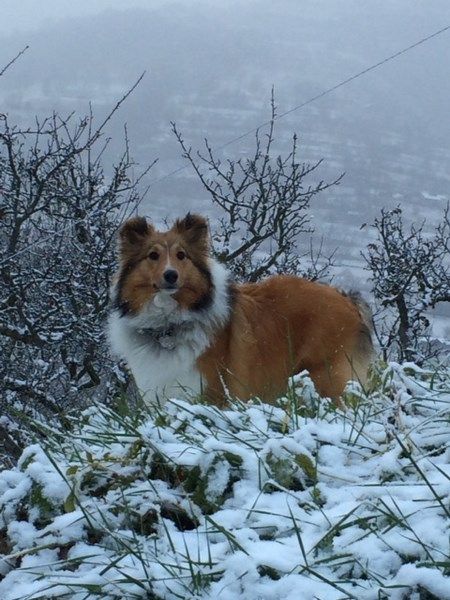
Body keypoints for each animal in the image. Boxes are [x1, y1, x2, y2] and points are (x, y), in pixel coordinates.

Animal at [108, 213, 372, 406]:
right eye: (152, 255)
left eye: (181, 255)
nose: (171, 275)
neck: (169, 324)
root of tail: (348, 299)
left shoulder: (213, 395)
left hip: (328, 378)